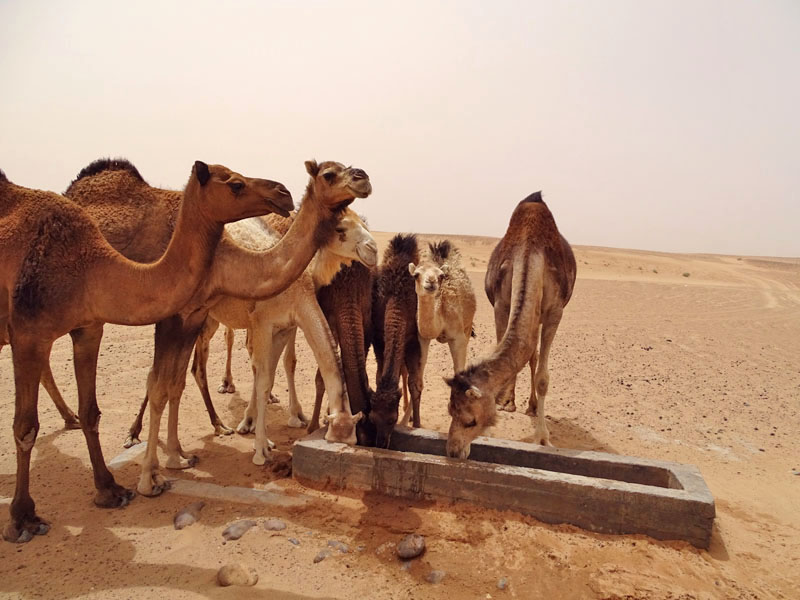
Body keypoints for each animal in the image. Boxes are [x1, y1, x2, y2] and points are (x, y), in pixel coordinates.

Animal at [0, 161, 293, 543]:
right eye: (236, 184)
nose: (284, 192)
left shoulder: (186, 316)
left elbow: (171, 385)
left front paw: (175, 455)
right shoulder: (172, 316)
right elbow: (160, 383)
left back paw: (71, 418)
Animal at [62, 158, 371, 497]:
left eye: (352, 437)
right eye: (341, 229)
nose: (372, 249)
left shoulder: (285, 325)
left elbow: (276, 368)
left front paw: (274, 424)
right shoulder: (260, 320)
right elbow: (262, 376)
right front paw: (260, 447)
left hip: (200, 318)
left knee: (182, 375)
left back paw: (197, 437)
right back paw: (128, 438)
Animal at [405, 240, 476, 425]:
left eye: (441, 276)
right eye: (416, 275)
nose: (431, 282)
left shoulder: (458, 338)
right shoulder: (422, 338)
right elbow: (417, 382)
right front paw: (412, 422)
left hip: (467, 329)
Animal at [445, 191, 576, 459]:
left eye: (471, 421)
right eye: (450, 411)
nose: (453, 451)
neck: (530, 251)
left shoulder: (555, 312)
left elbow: (543, 377)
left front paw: (543, 437)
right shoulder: (501, 305)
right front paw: (503, 403)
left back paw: (532, 407)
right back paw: (512, 402)